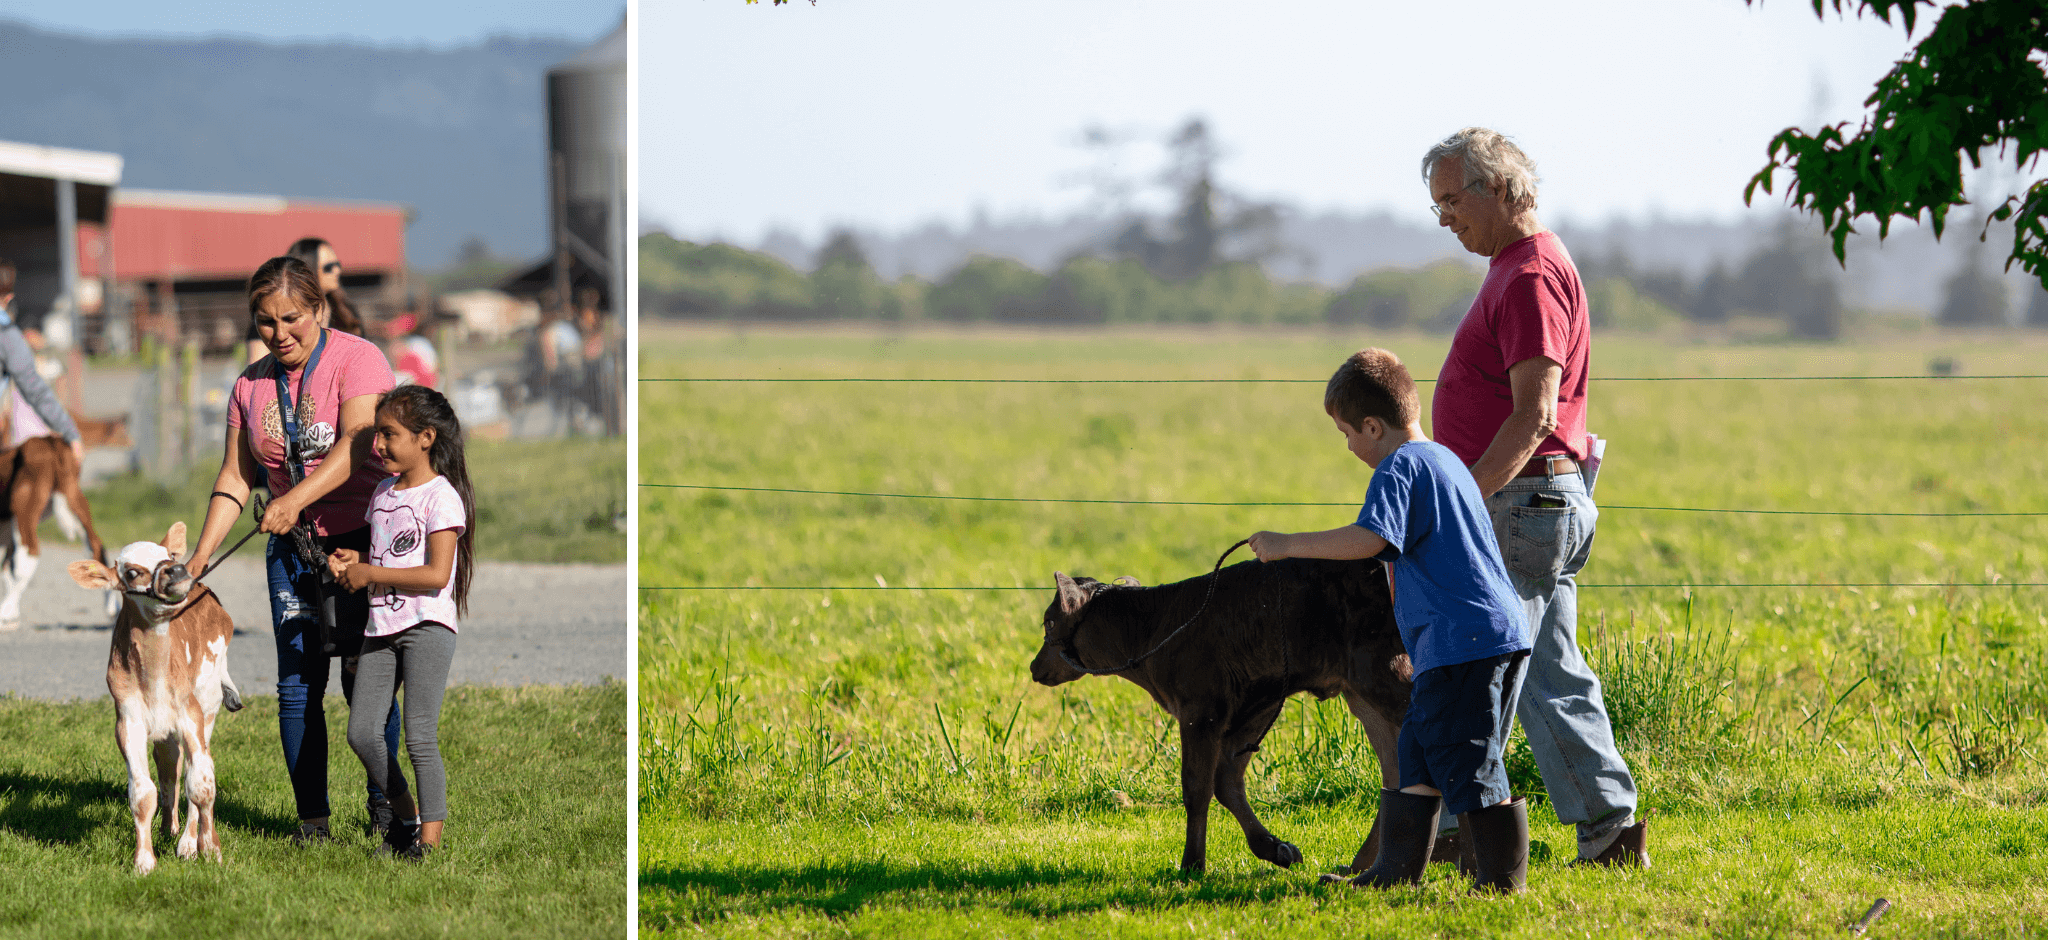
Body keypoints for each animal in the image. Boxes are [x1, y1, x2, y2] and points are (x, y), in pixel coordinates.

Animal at [68, 522, 241, 876]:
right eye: (132, 572)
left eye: (169, 556)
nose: (177, 571)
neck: (155, 678)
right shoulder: (128, 721)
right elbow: (143, 791)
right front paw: (144, 861)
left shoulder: (191, 713)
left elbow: (201, 783)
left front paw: (209, 850)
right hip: (165, 729)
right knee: (169, 765)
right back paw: (168, 828)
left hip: (209, 702)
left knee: (194, 767)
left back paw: (188, 842)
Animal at [1032, 561, 1417, 876]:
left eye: (1049, 621)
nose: (1034, 666)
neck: (1154, 629)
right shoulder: (1253, 706)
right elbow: (1226, 781)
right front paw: (1276, 849)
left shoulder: (1200, 708)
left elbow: (1197, 787)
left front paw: (1191, 865)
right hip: (1361, 693)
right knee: (1394, 768)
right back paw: (1363, 865)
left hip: (1383, 672)